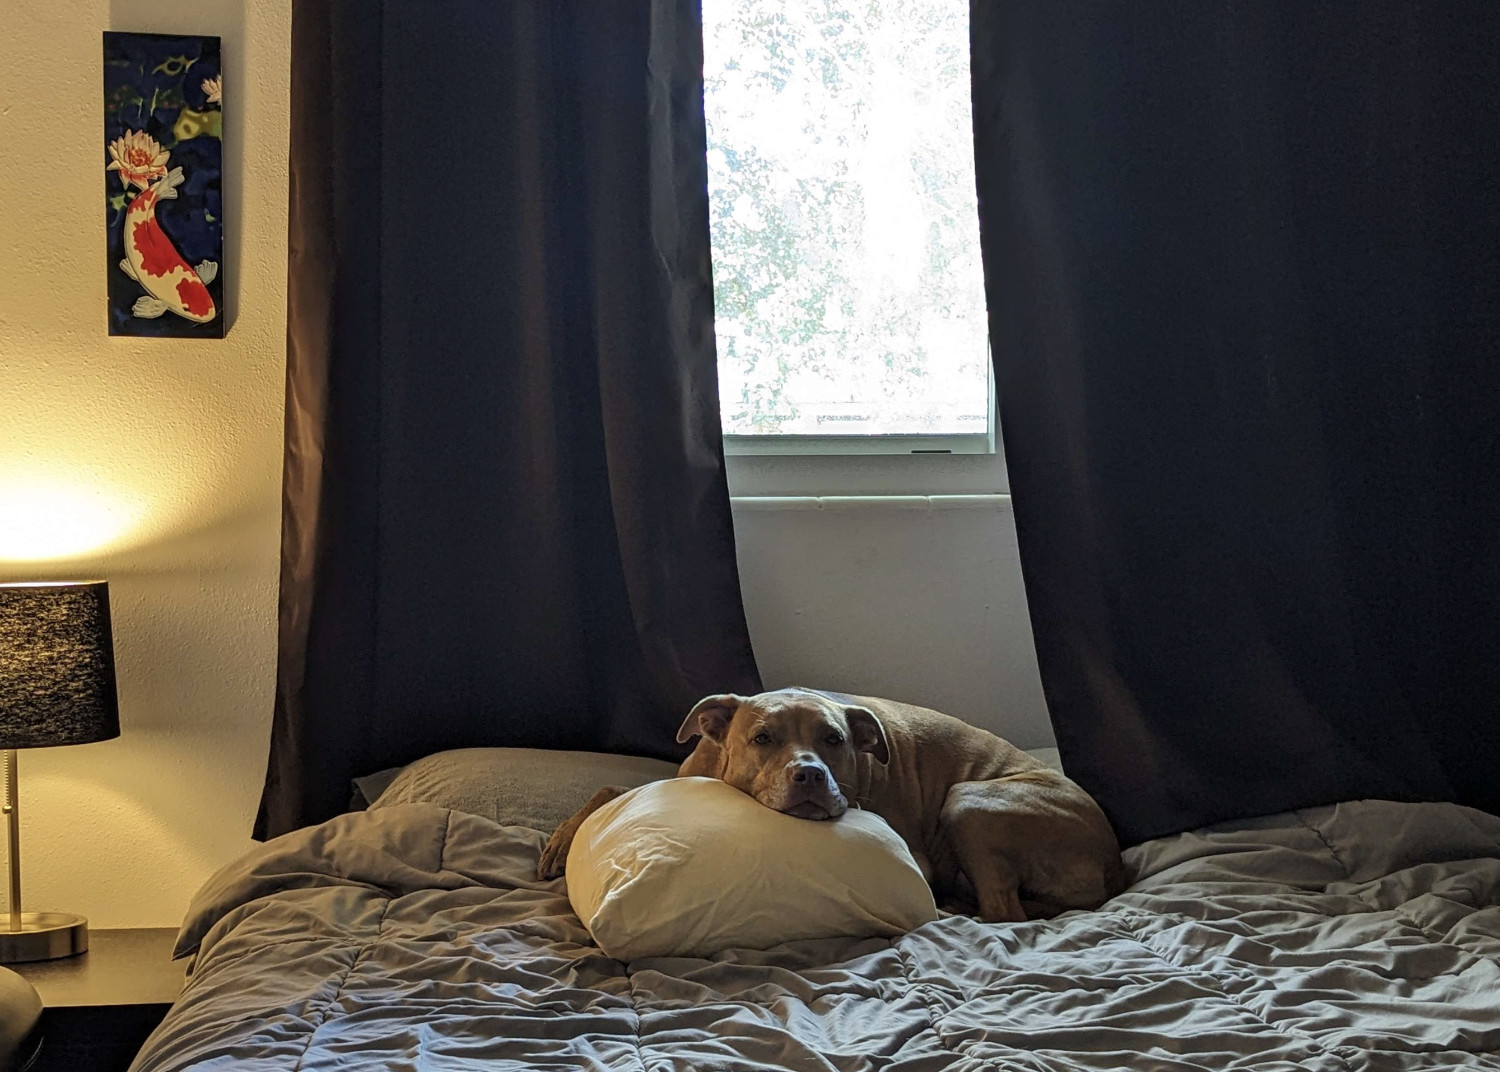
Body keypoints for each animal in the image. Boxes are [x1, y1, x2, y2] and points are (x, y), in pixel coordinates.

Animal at [540, 692, 1128, 929]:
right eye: (762, 738)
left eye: (835, 739)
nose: (810, 774)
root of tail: (1114, 862)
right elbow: (607, 789)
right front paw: (560, 841)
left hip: (970, 800)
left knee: (1002, 912)